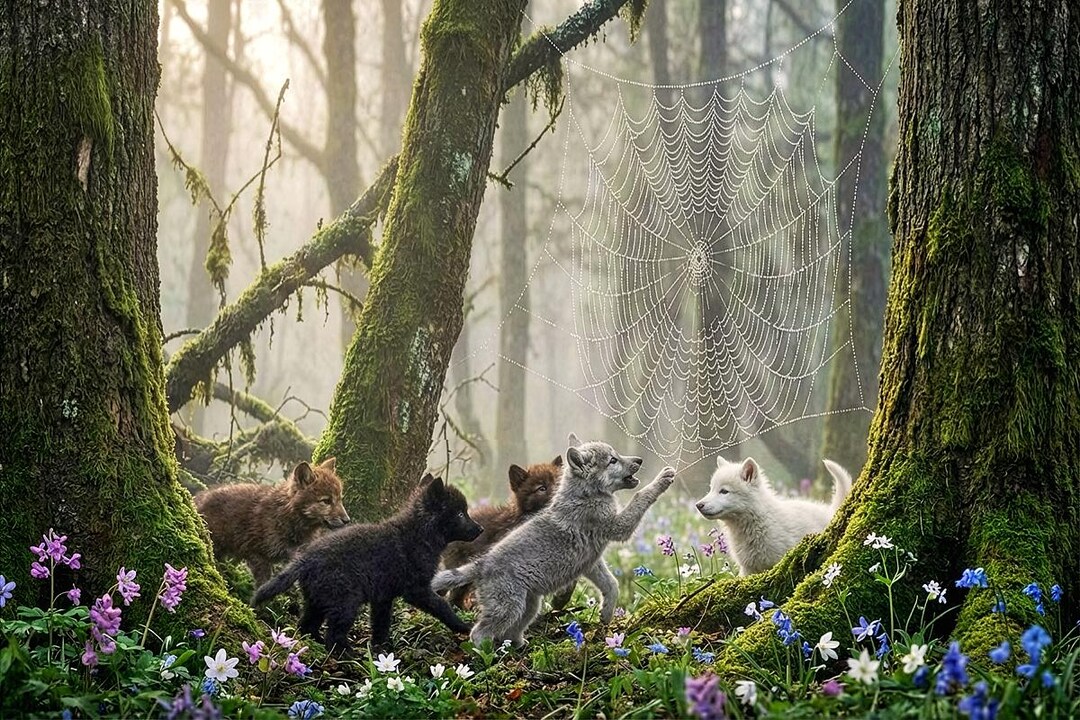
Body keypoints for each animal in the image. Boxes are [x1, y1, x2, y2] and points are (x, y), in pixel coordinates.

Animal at [251, 474, 482, 655]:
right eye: (460, 514)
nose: (480, 529)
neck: (419, 534)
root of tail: (306, 559)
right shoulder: (417, 589)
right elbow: (441, 605)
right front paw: (462, 626)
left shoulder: (383, 596)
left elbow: (381, 623)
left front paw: (381, 647)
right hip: (345, 600)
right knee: (333, 633)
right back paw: (347, 654)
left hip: (317, 597)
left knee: (307, 624)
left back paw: (316, 643)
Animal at [695, 456, 851, 575]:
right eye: (711, 489)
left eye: (724, 491)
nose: (698, 505)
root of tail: (833, 511)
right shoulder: (748, 569)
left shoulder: (777, 561)